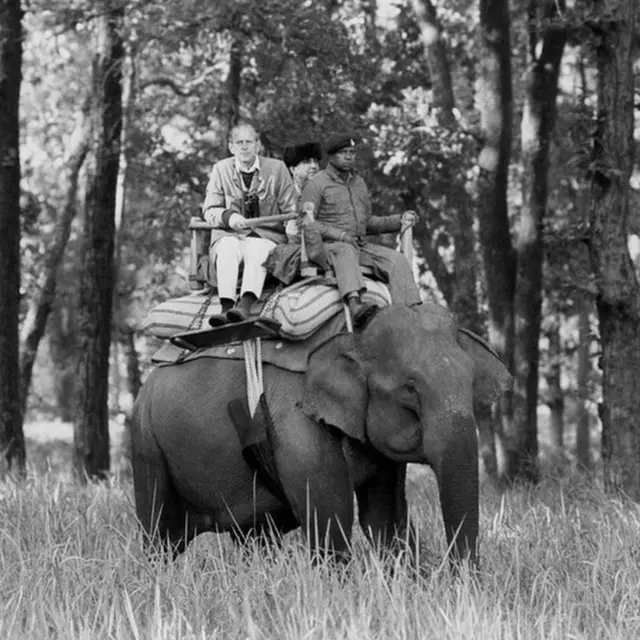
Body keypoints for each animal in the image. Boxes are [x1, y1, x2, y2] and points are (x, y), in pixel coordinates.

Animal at [130, 302, 510, 568]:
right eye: (410, 389)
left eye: (471, 381)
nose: (460, 579)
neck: (354, 328)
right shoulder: (295, 420)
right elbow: (328, 516)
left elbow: (384, 520)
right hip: (146, 442)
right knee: (160, 535)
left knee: (254, 538)